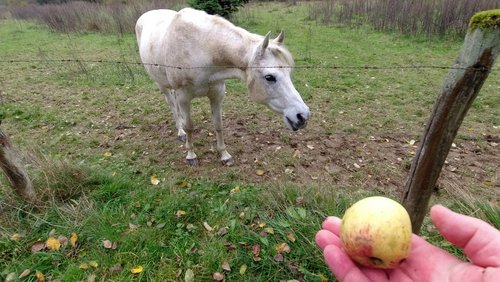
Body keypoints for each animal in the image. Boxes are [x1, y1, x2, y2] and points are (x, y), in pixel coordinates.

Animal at [135, 7, 310, 165]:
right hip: (162, 85)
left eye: (289, 72)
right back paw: (180, 132)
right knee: (172, 105)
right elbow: (190, 126)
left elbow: (218, 125)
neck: (201, 50)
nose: (302, 116)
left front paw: (224, 155)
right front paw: (191, 155)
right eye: (269, 77)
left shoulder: (217, 94)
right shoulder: (184, 97)